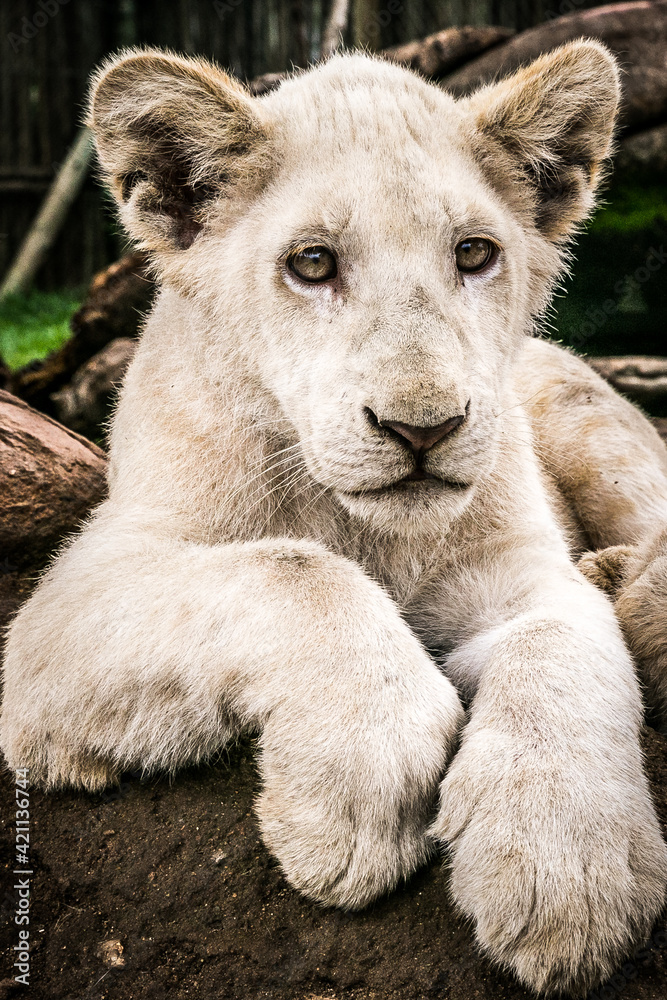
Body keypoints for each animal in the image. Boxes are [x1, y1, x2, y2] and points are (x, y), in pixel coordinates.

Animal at [2, 40, 667, 996]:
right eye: (312, 264)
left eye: (473, 253)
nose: (424, 427)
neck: (357, 521)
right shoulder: (64, 610)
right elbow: (294, 566)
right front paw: (355, 796)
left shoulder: (521, 569)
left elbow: (561, 646)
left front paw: (567, 869)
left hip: (586, 414)